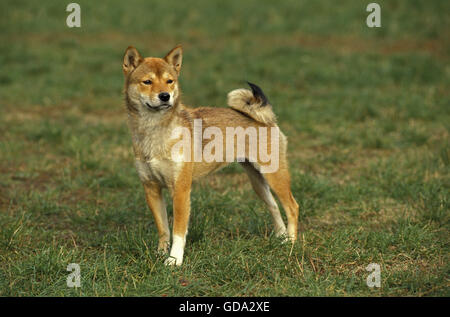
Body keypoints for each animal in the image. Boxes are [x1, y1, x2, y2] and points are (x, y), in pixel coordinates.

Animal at [123, 44, 298, 266]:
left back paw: (291, 243)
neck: (155, 131)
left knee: (292, 207)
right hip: (258, 182)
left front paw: (174, 260)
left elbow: (178, 231)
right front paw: (160, 254)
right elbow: (163, 229)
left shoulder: (181, 190)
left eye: (170, 81)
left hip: (274, 176)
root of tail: (266, 119)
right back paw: (281, 238)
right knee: (274, 207)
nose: (165, 96)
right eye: (147, 82)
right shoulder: (151, 188)